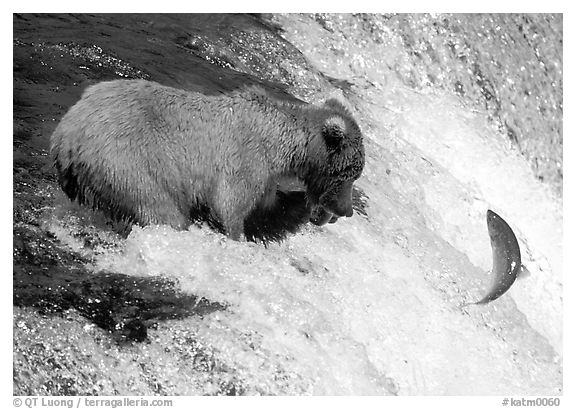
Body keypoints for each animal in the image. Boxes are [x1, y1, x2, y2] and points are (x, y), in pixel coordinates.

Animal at [50, 78, 364, 241]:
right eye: (351, 174)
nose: (347, 211)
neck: (283, 146)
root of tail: (66, 134)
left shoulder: (267, 179)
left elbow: (270, 213)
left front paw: (301, 206)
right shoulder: (247, 159)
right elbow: (230, 207)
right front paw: (236, 236)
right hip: (127, 161)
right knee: (161, 210)